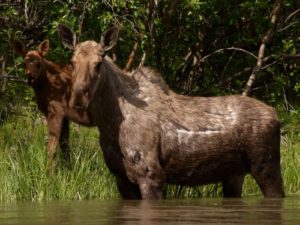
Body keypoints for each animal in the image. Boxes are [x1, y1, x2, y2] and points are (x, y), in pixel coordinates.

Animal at [13, 40, 92, 174]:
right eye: (24, 63)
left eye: (38, 63)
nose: (30, 77)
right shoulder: (65, 116)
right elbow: (65, 145)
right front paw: (68, 171)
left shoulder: (56, 111)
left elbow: (51, 147)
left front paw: (51, 176)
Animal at [58, 24, 284, 199]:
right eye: (72, 62)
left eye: (98, 63)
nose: (78, 100)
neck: (109, 123)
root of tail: (276, 115)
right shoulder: (121, 179)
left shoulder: (151, 174)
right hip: (234, 174)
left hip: (266, 166)